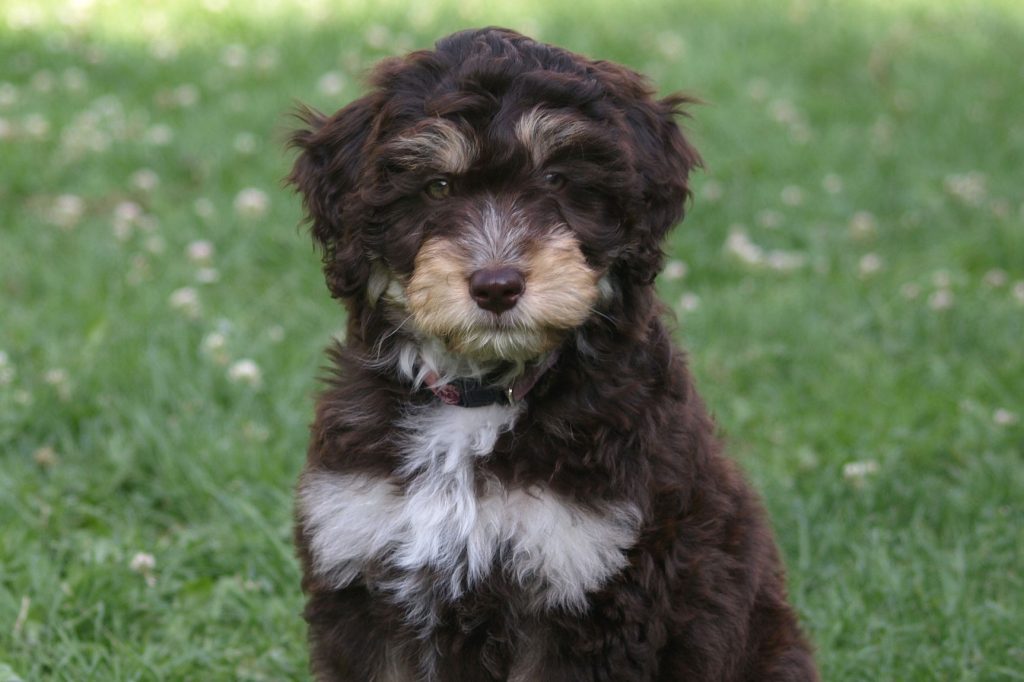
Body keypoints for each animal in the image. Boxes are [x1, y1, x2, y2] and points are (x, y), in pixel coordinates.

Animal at [288, 26, 815, 679]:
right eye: (437, 187)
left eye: (558, 180)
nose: (496, 285)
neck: (479, 398)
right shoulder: (362, 569)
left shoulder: (586, 593)